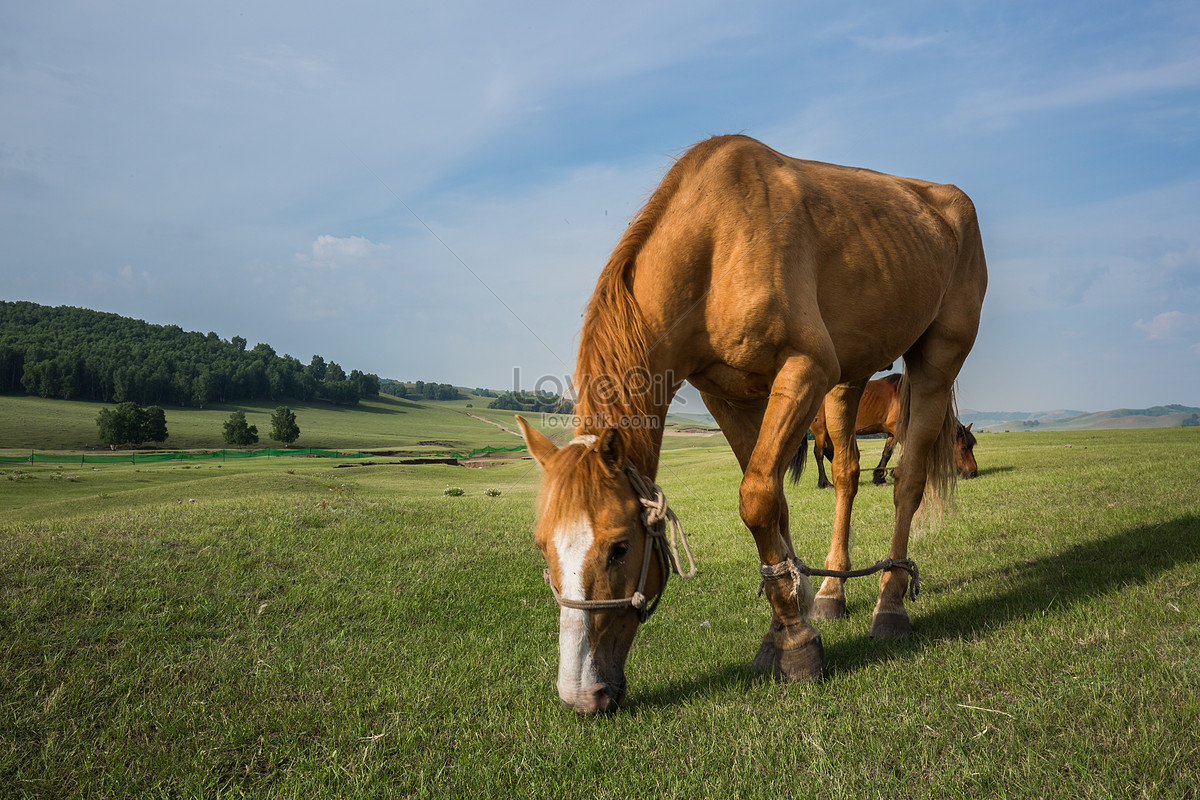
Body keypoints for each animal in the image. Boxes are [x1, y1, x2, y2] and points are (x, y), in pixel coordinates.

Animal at [811, 374, 979, 489]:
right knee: (819, 453)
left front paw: (880, 477)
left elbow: (887, 453)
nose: (973, 473)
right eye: (963, 448)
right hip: (820, 429)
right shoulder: (899, 431)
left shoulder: (892, 433)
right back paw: (825, 482)